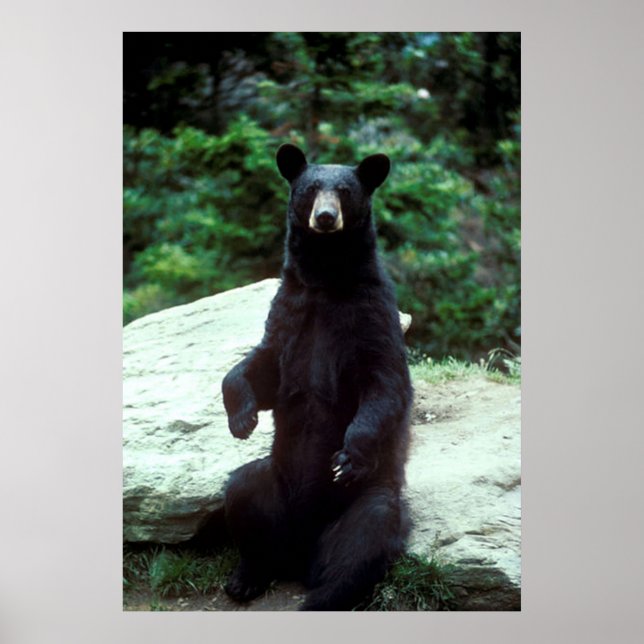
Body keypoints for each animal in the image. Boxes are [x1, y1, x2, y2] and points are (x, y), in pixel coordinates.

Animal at [221, 143, 412, 611]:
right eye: (310, 189)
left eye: (344, 191)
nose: (325, 217)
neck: (326, 281)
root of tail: (300, 555)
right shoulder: (290, 310)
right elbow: (263, 365)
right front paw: (242, 418)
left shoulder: (372, 314)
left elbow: (384, 384)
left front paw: (348, 456)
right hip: (273, 484)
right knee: (243, 492)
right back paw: (246, 577)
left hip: (364, 501)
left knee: (363, 540)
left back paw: (322, 595)